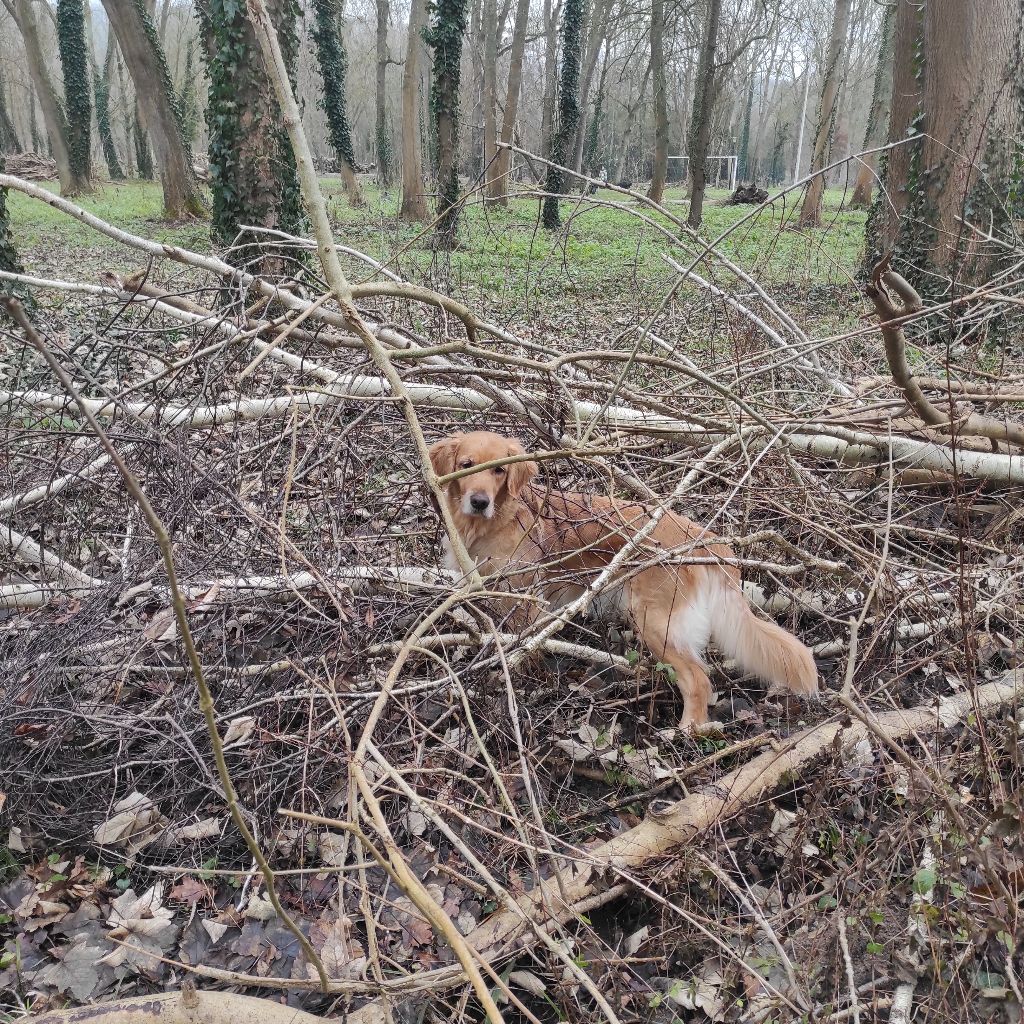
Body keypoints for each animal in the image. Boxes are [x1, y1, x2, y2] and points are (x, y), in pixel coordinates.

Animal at [428, 428, 819, 733]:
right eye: (466, 466)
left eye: (498, 472)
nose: (479, 501)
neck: (493, 522)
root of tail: (703, 537)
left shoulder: (525, 601)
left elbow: (521, 649)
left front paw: (513, 684)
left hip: (655, 622)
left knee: (698, 678)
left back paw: (687, 730)